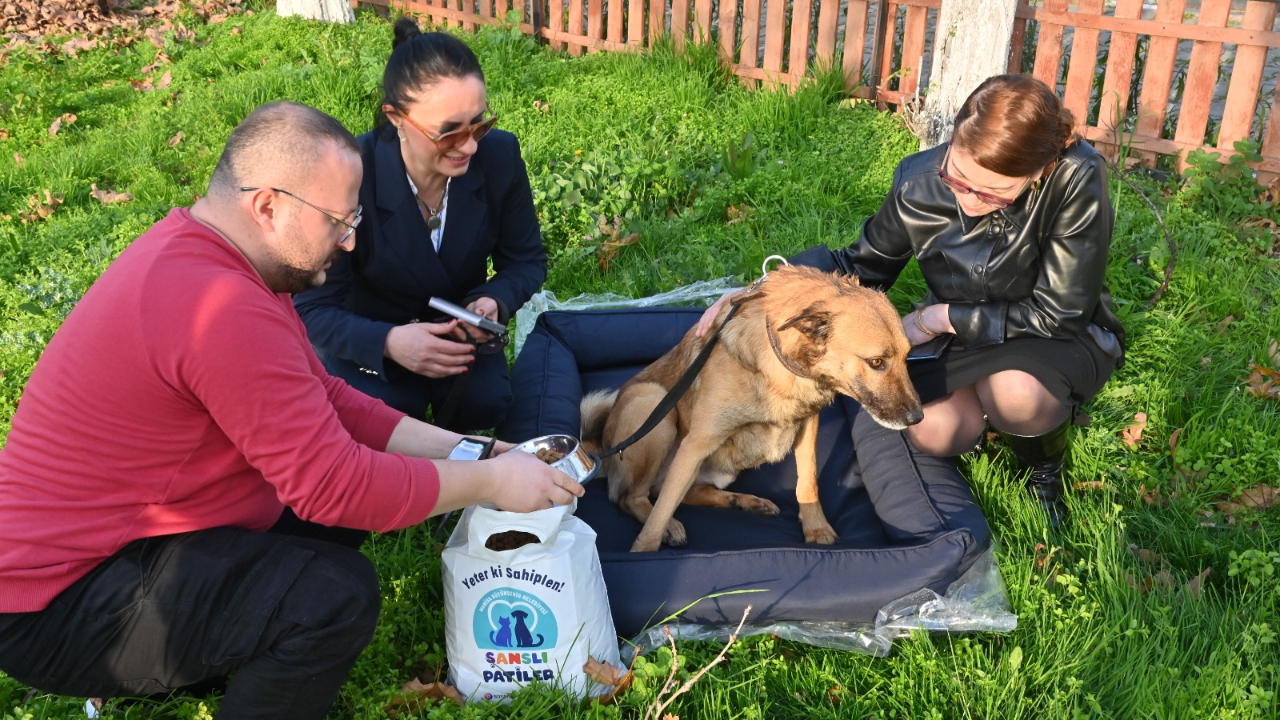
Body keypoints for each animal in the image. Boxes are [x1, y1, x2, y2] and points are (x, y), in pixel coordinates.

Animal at [578, 266, 921, 550]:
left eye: (908, 356)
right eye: (875, 362)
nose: (917, 418)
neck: (781, 361)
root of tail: (599, 448)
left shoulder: (808, 426)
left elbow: (808, 481)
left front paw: (815, 528)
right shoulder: (695, 444)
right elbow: (658, 515)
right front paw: (645, 550)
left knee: (685, 494)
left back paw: (743, 501)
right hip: (655, 408)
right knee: (634, 499)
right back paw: (672, 526)